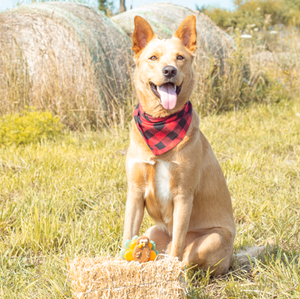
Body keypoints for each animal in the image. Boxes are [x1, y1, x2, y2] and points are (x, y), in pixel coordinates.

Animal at [123, 15, 236, 276]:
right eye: (153, 57)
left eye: (180, 58)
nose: (169, 71)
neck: (160, 123)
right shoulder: (134, 193)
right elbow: (126, 237)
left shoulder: (183, 195)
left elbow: (178, 244)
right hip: (153, 231)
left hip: (212, 239)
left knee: (186, 259)